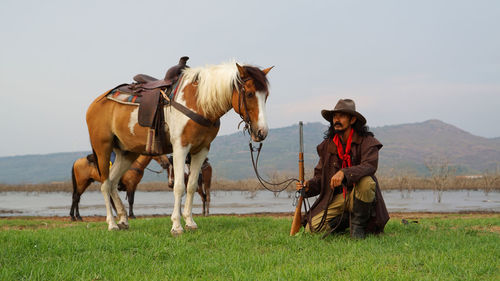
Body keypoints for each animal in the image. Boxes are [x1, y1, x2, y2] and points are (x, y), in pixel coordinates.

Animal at [87, 62, 274, 233]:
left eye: (266, 95)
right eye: (249, 93)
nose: (262, 132)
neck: (198, 102)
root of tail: (96, 103)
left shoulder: (201, 150)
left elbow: (191, 186)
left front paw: (190, 222)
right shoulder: (180, 148)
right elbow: (179, 187)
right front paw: (176, 226)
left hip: (127, 152)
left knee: (112, 182)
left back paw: (123, 220)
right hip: (102, 148)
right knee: (105, 184)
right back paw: (111, 223)